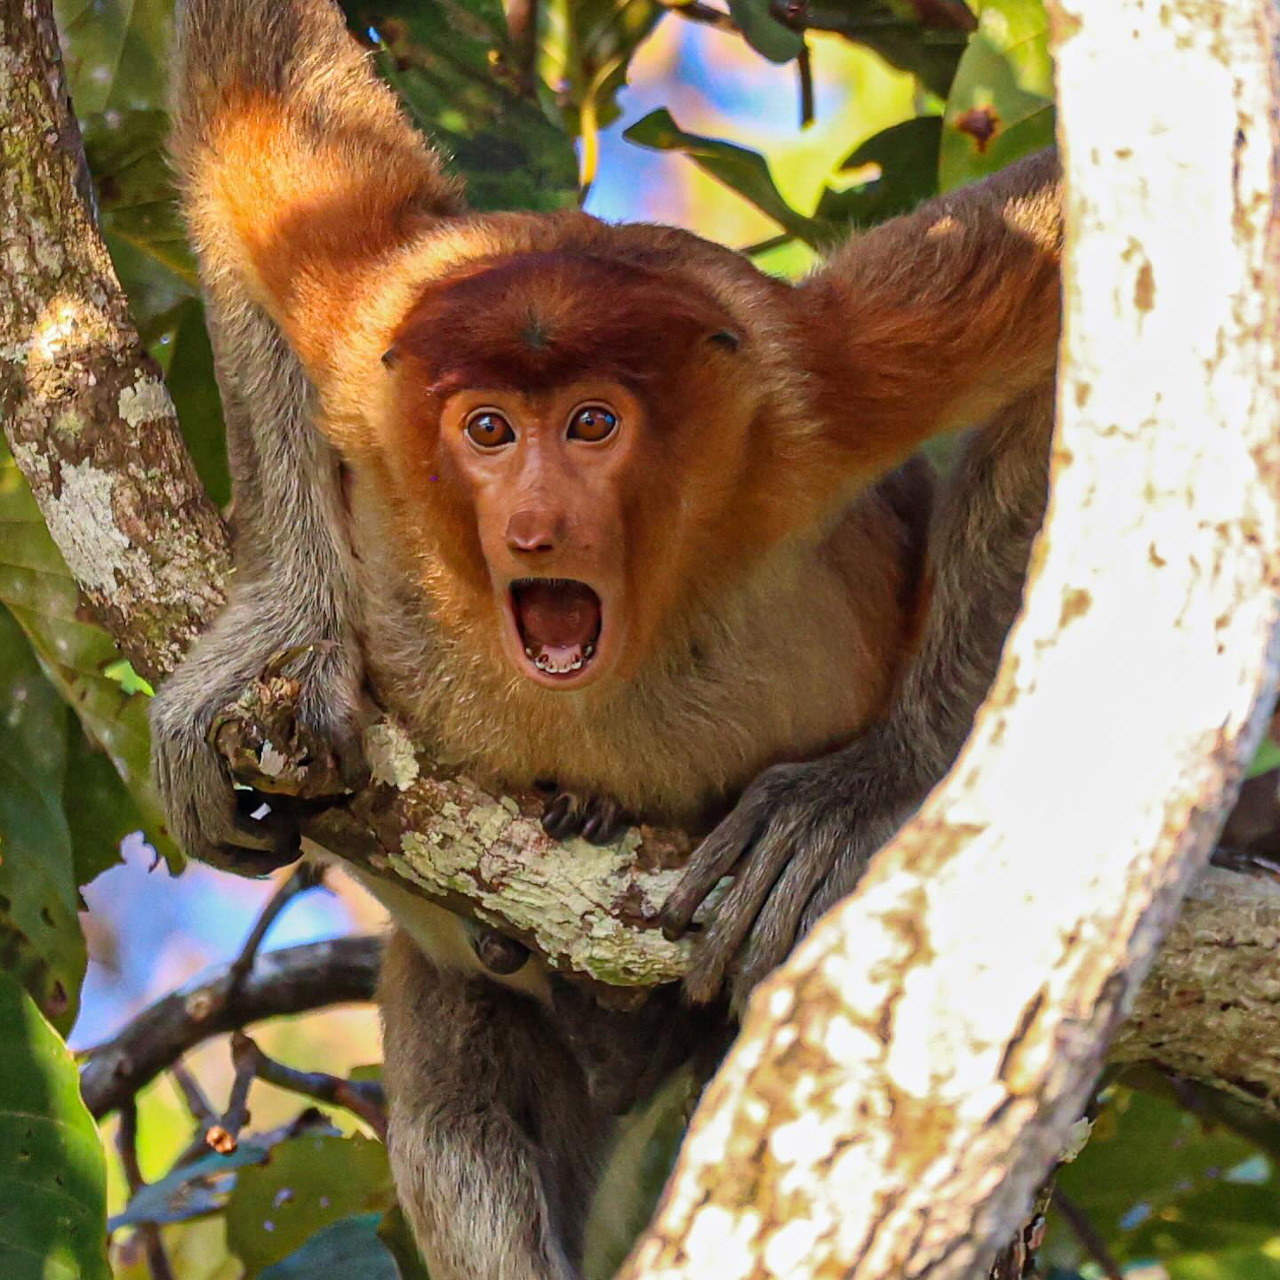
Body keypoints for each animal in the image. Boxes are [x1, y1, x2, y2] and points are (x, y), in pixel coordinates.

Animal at [148, 0, 1062, 1275]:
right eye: (487, 429)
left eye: (592, 424)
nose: (535, 525)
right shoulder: (367, 324)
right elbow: (251, 116)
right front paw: (282, 630)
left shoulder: (813, 394)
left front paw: (867, 788)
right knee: (460, 1099)